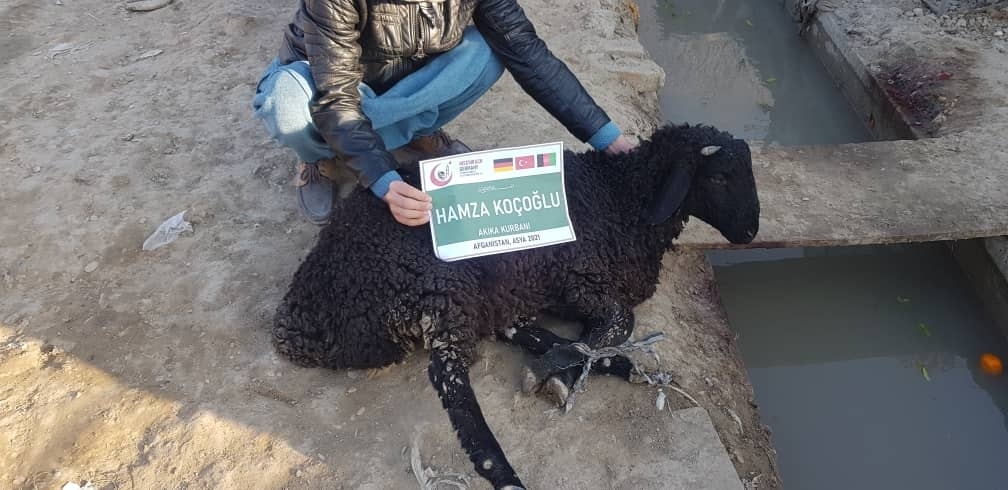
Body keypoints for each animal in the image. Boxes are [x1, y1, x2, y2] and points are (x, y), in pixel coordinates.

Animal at [272, 123, 760, 490]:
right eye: (719, 177)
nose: (751, 232)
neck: (621, 197)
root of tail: (298, 322)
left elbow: (596, 334)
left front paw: (567, 371)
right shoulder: (578, 278)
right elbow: (619, 320)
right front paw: (556, 371)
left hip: (483, 296)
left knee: (514, 332)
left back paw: (631, 371)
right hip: (440, 292)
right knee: (454, 388)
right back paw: (507, 475)